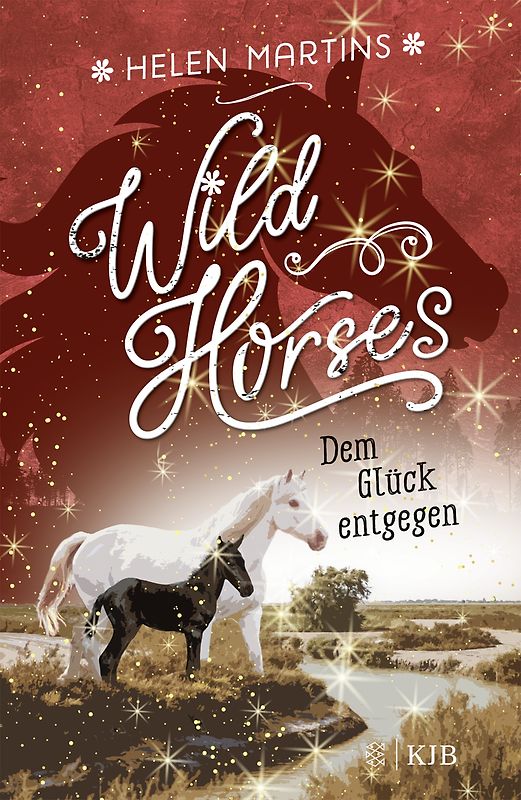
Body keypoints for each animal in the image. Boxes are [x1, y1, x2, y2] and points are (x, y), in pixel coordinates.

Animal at [84, 536, 253, 683]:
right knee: (107, 658)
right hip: (125, 629)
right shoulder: (194, 632)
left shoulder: (193, 633)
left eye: (243, 560)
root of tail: (106, 592)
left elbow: (193, 666)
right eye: (229, 562)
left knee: (113, 659)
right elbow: (193, 666)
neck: (200, 591)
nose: (248, 589)